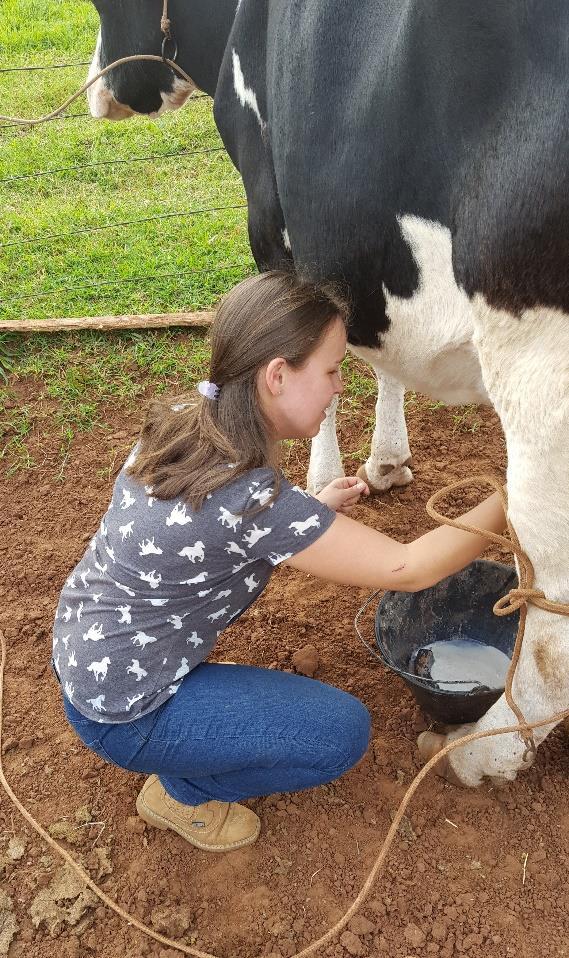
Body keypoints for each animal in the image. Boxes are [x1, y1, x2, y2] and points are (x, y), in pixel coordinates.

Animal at [87, 3, 568, 792]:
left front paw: (322, 474)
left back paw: (480, 750)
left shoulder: (275, 216)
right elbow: (378, 359)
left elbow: (324, 357)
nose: (102, 88)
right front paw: (387, 461)